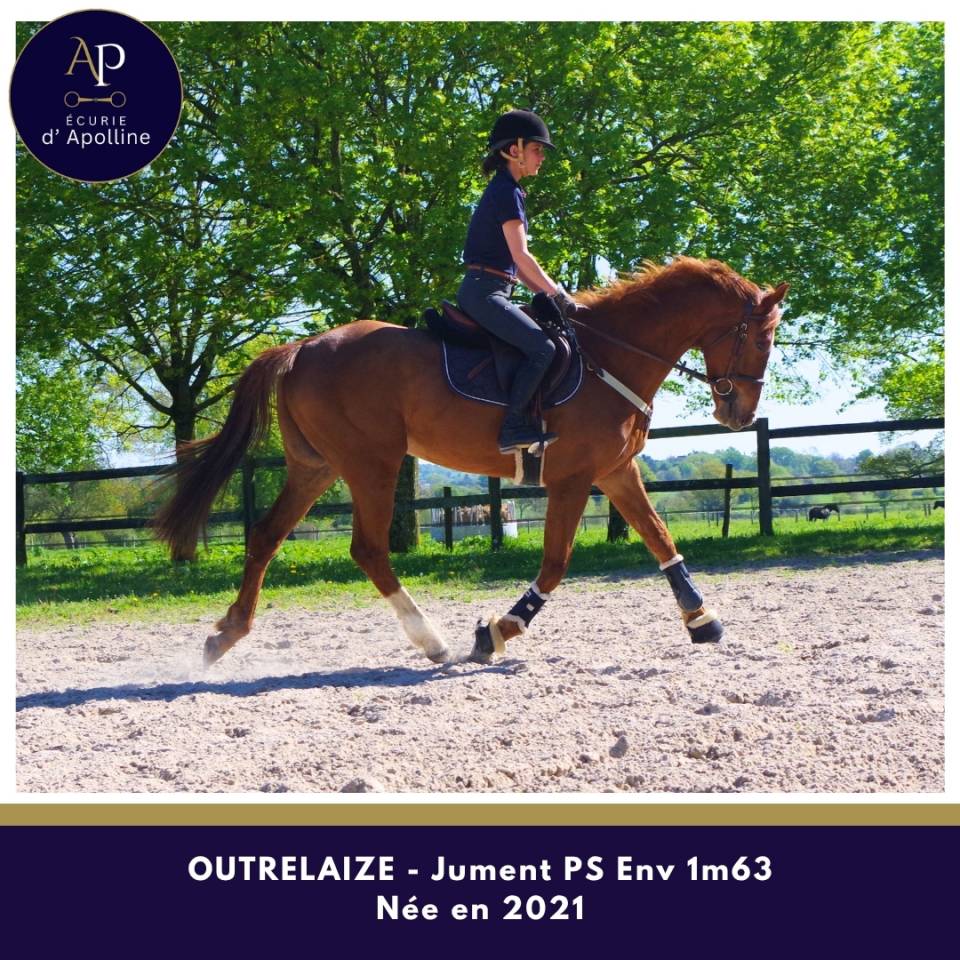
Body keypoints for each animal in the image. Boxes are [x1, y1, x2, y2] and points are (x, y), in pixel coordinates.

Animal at [154, 257, 787, 666]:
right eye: (761, 340)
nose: (740, 412)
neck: (612, 354)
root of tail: (302, 347)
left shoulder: (616, 472)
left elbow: (661, 540)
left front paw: (703, 621)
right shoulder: (574, 478)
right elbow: (556, 563)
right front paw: (498, 631)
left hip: (317, 467)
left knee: (265, 536)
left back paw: (225, 636)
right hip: (372, 464)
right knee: (368, 550)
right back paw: (431, 640)